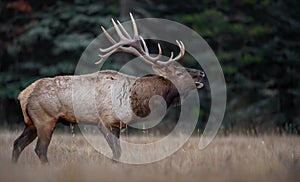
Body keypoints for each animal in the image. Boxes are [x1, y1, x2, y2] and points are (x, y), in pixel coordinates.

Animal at [11, 13, 204, 163]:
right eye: (179, 73)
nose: (201, 73)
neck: (136, 102)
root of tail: (23, 95)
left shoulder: (118, 125)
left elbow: (118, 152)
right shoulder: (105, 121)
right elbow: (117, 152)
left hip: (32, 123)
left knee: (17, 143)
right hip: (46, 119)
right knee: (40, 150)